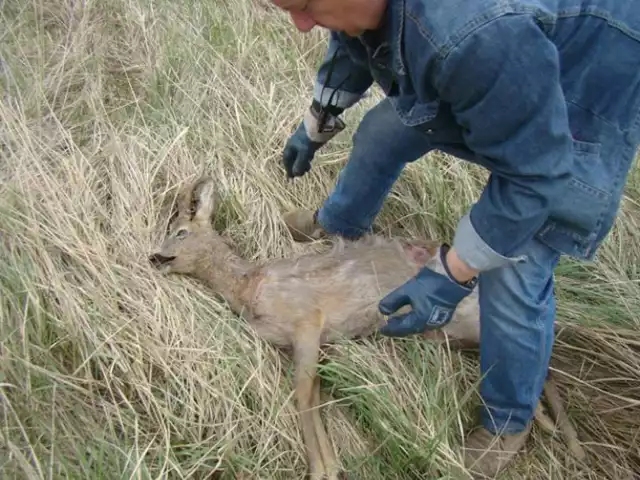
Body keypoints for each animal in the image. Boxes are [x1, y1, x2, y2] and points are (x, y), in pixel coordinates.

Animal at [148, 175, 584, 480]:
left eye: (181, 232)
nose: (155, 256)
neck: (249, 286)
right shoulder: (314, 343)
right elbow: (316, 395)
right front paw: (331, 465)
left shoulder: (307, 320)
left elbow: (301, 395)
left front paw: (319, 469)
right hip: (450, 333)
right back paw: (555, 430)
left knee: (530, 365)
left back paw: (543, 433)